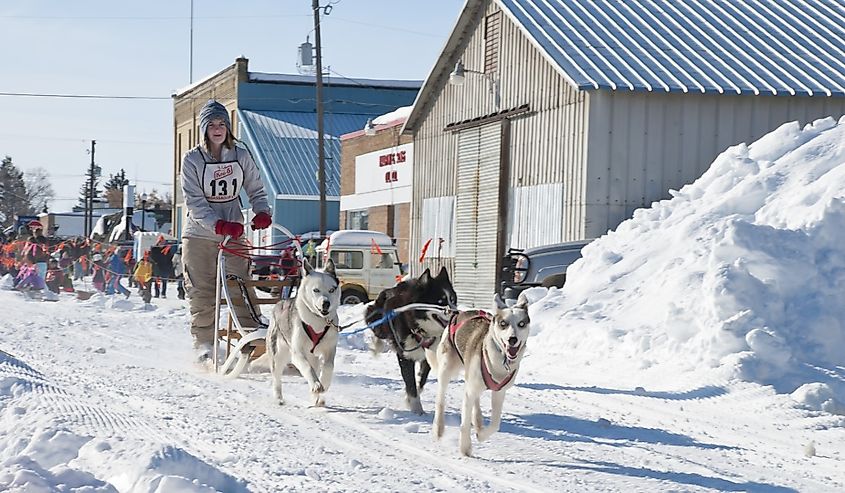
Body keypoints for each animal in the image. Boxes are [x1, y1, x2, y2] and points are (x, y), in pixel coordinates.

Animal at [268, 260, 340, 406]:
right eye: (316, 290)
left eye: (332, 289)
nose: (326, 303)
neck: (318, 321)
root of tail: (280, 302)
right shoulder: (298, 352)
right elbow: (307, 367)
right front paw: (317, 385)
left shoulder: (330, 349)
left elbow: (329, 366)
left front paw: (323, 384)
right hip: (278, 354)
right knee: (277, 377)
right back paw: (278, 397)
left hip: (314, 357)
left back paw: (317, 398)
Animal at [362, 268, 454, 414]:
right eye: (440, 302)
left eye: (452, 299)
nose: (456, 312)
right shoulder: (405, 357)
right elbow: (410, 384)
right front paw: (417, 409)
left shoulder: (429, 354)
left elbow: (421, 380)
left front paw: (409, 398)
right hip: (377, 319)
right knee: (375, 327)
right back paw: (377, 347)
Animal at [436, 292, 528, 458]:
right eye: (503, 323)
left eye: (521, 324)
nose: (512, 339)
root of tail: (460, 312)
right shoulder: (470, 391)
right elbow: (464, 424)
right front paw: (465, 447)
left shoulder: (499, 392)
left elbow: (496, 423)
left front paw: (481, 435)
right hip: (446, 369)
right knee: (440, 400)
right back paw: (439, 428)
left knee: (476, 402)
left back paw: (478, 421)